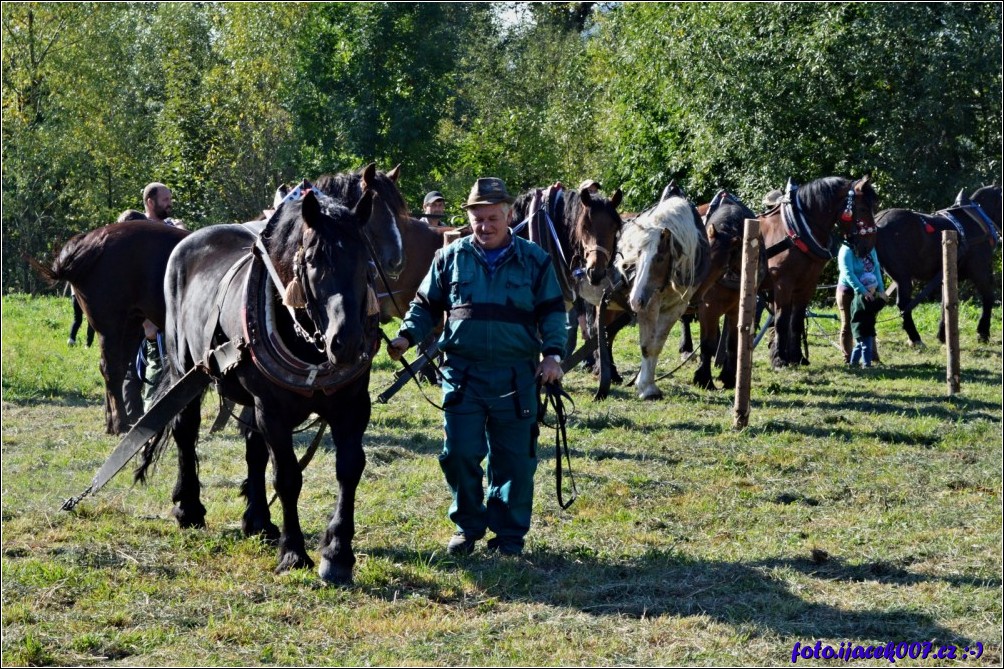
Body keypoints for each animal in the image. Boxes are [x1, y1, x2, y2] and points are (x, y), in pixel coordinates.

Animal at [141, 184, 387, 582]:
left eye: (366, 259)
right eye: (313, 260)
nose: (346, 342)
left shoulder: (352, 406)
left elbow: (349, 469)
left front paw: (337, 553)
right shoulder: (272, 410)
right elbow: (287, 476)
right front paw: (294, 553)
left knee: (252, 446)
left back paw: (258, 520)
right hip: (184, 368)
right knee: (185, 431)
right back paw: (189, 507)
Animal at [759, 174, 879, 367]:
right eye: (862, 208)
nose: (869, 245)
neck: (794, 231)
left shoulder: (807, 285)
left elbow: (796, 321)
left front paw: (797, 357)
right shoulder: (782, 284)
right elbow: (781, 321)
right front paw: (779, 360)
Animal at [875, 184, 999, 345]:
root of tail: (878, 222)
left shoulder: (945, 274)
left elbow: (945, 302)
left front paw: (943, 335)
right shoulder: (980, 271)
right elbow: (988, 297)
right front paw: (983, 333)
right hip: (902, 277)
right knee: (902, 304)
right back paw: (915, 338)